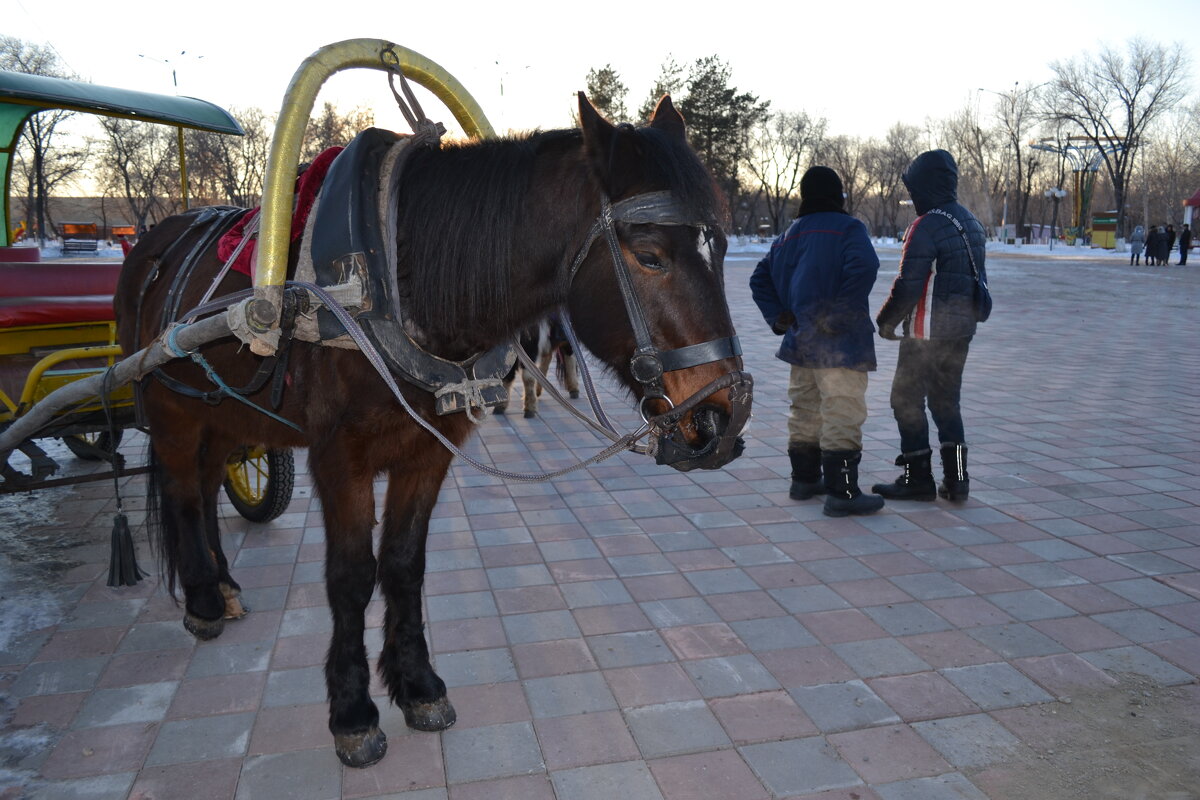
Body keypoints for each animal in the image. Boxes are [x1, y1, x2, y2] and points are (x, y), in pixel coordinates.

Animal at [112, 94, 748, 767]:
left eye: (720, 245)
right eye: (649, 255)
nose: (727, 416)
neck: (395, 278)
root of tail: (155, 245)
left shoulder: (428, 451)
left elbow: (403, 563)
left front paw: (416, 684)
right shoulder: (340, 458)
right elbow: (351, 577)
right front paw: (353, 711)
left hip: (226, 412)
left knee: (207, 485)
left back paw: (225, 583)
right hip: (174, 411)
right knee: (183, 491)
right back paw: (204, 599)